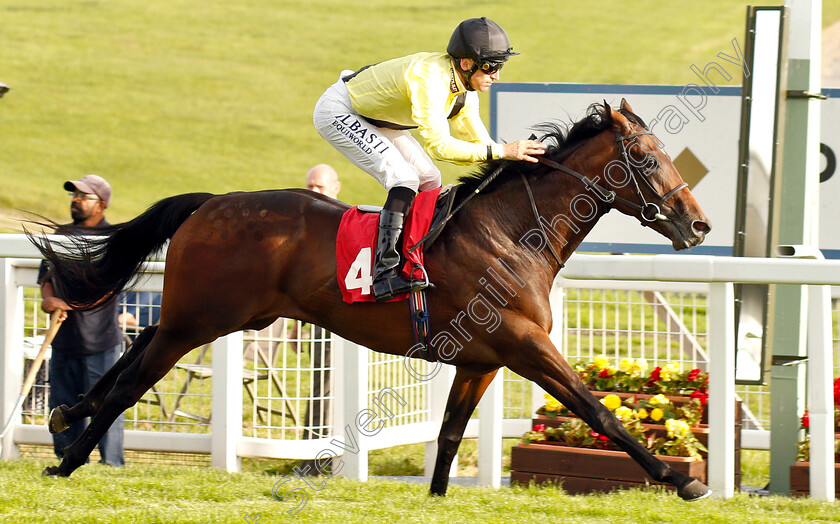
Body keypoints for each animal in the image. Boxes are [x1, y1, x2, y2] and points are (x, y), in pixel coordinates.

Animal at [36, 99, 712, 500]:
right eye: (647, 158)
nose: (698, 225)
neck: (514, 233)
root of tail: (211, 202)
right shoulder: (525, 344)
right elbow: (598, 411)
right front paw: (680, 481)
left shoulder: (481, 360)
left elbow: (449, 435)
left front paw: (436, 498)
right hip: (201, 318)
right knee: (133, 379)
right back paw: (67, 460)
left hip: (218, 313)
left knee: (138, 345)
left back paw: (66, 416)